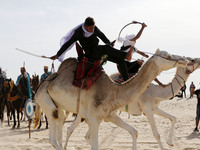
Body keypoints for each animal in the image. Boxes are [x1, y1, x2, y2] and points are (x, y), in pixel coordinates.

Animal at [33, 49, 188, 150]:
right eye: (167, 56)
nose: (185, 60)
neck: (113, 90)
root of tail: (39, 87)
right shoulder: (95, 117)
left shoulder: (106, 115)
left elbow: (135, 131)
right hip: (46, 102)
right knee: (54, 135)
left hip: (63, 108)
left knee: (60, 126)